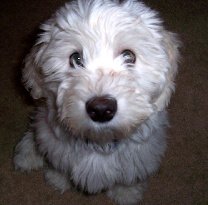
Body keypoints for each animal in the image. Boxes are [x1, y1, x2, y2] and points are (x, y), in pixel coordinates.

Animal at [13, 0, 180, 204]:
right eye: (76, 58)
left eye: (129, 56)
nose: (101, 109)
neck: (100, 141)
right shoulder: (57, 147)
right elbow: (58, 165)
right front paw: (57, 179)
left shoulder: (140, 156)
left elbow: (129, 178)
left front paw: (126, 194)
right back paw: (27, 155)